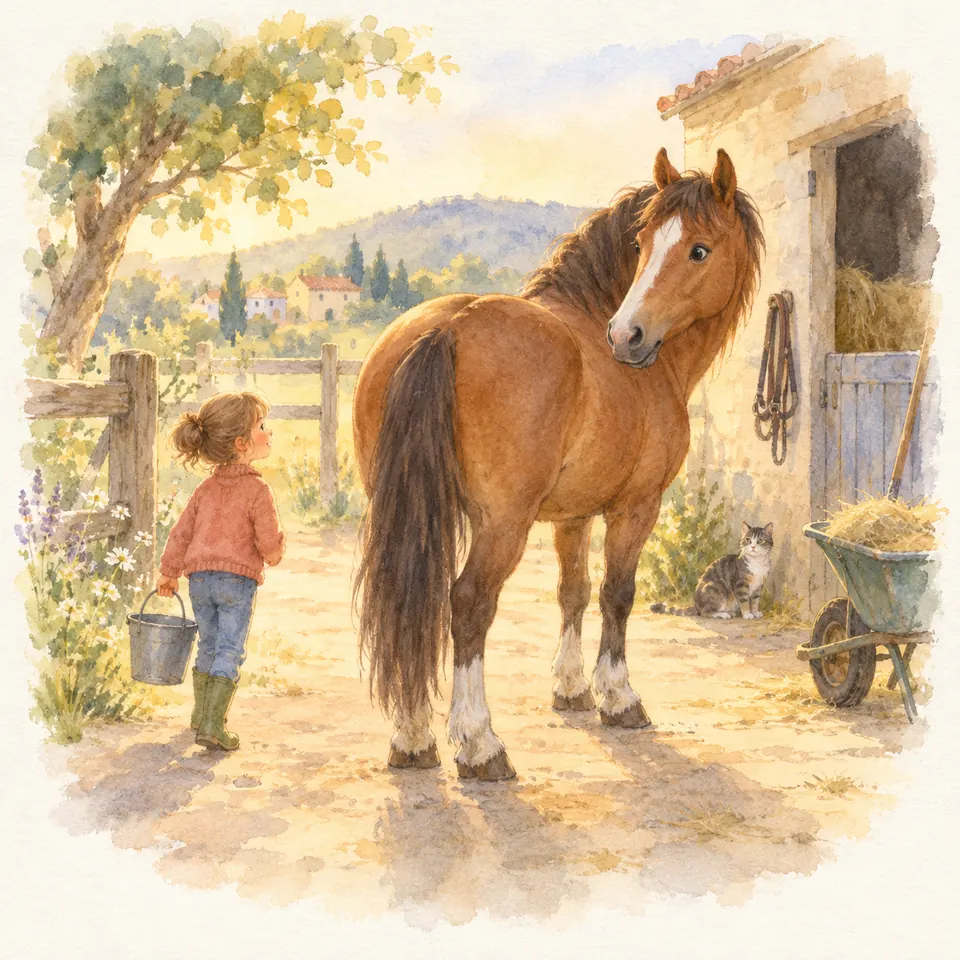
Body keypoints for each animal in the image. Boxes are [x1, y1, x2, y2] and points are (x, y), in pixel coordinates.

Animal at [352, 148, 764, 781]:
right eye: (644, 241)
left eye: (699, 249)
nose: (626, 335)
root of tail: (448, 327)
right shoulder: (636, 507)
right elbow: (618, 593)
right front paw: (618, 697)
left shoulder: (573, 515)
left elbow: (573, 590)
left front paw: (571, 689)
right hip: (502, 524)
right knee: (468, 604)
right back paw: (479, 744)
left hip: (405, 511)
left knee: (410, 600)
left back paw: (413, 739)